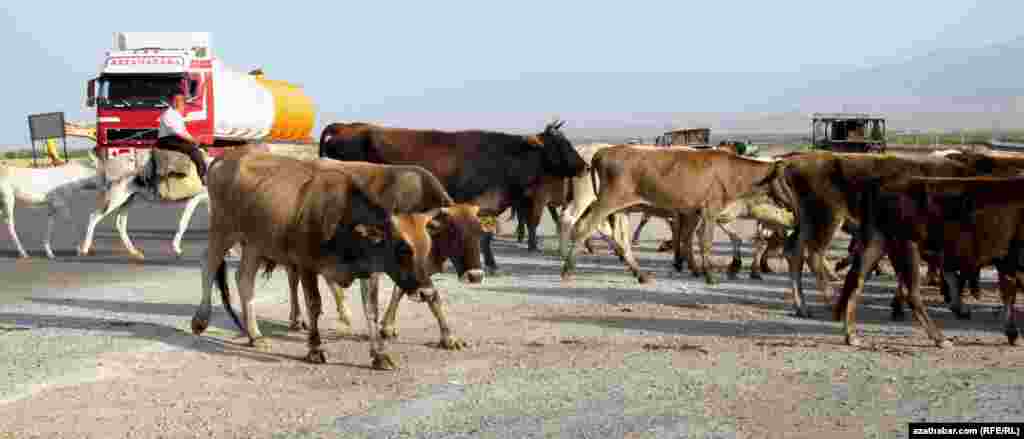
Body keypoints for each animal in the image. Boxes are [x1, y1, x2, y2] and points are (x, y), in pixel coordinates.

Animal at [192, 149, 456, 370]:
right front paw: (315, 349)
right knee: (208, 265)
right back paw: (201, 320)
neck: (342, 221)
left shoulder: (369, 271)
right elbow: (314, 305)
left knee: (244, 279)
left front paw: (379, 355)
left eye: (427, 247)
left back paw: (254, 335)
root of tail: (227, 156)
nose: (427, 292)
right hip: (223, 229)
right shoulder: (306, 265)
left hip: (255, 243)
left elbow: (371, 310)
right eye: (403, 249)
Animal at [323, 120, 589, 274]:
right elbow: (486, 236)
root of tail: (344, 128)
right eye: (559, 144)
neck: (503, 158)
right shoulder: (479, 203)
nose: (585, 166)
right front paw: (490, 264)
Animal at [561, 146, 782, 284]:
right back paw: (567, 269)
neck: (733, 172)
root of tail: (602, 152)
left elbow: (686, 238)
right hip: (605, 202)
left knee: (620, 238)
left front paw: (692, 267)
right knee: (582, 226)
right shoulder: (709, 211)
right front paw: (709, 275)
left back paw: (639, 274)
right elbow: (704, 241)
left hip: (621, 208)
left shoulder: (691, 212)